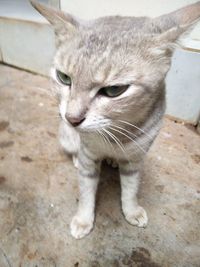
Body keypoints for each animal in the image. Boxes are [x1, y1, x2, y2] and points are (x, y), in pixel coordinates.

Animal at [30, 0, 200, 239]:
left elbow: (131, 189)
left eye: (114, 90)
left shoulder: (136, 158)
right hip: (67, 138)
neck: (116, 134)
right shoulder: (89, 155)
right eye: (64, 78)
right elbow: (86, 190)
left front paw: (132, 210)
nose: (72, 118)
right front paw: (83, 219)